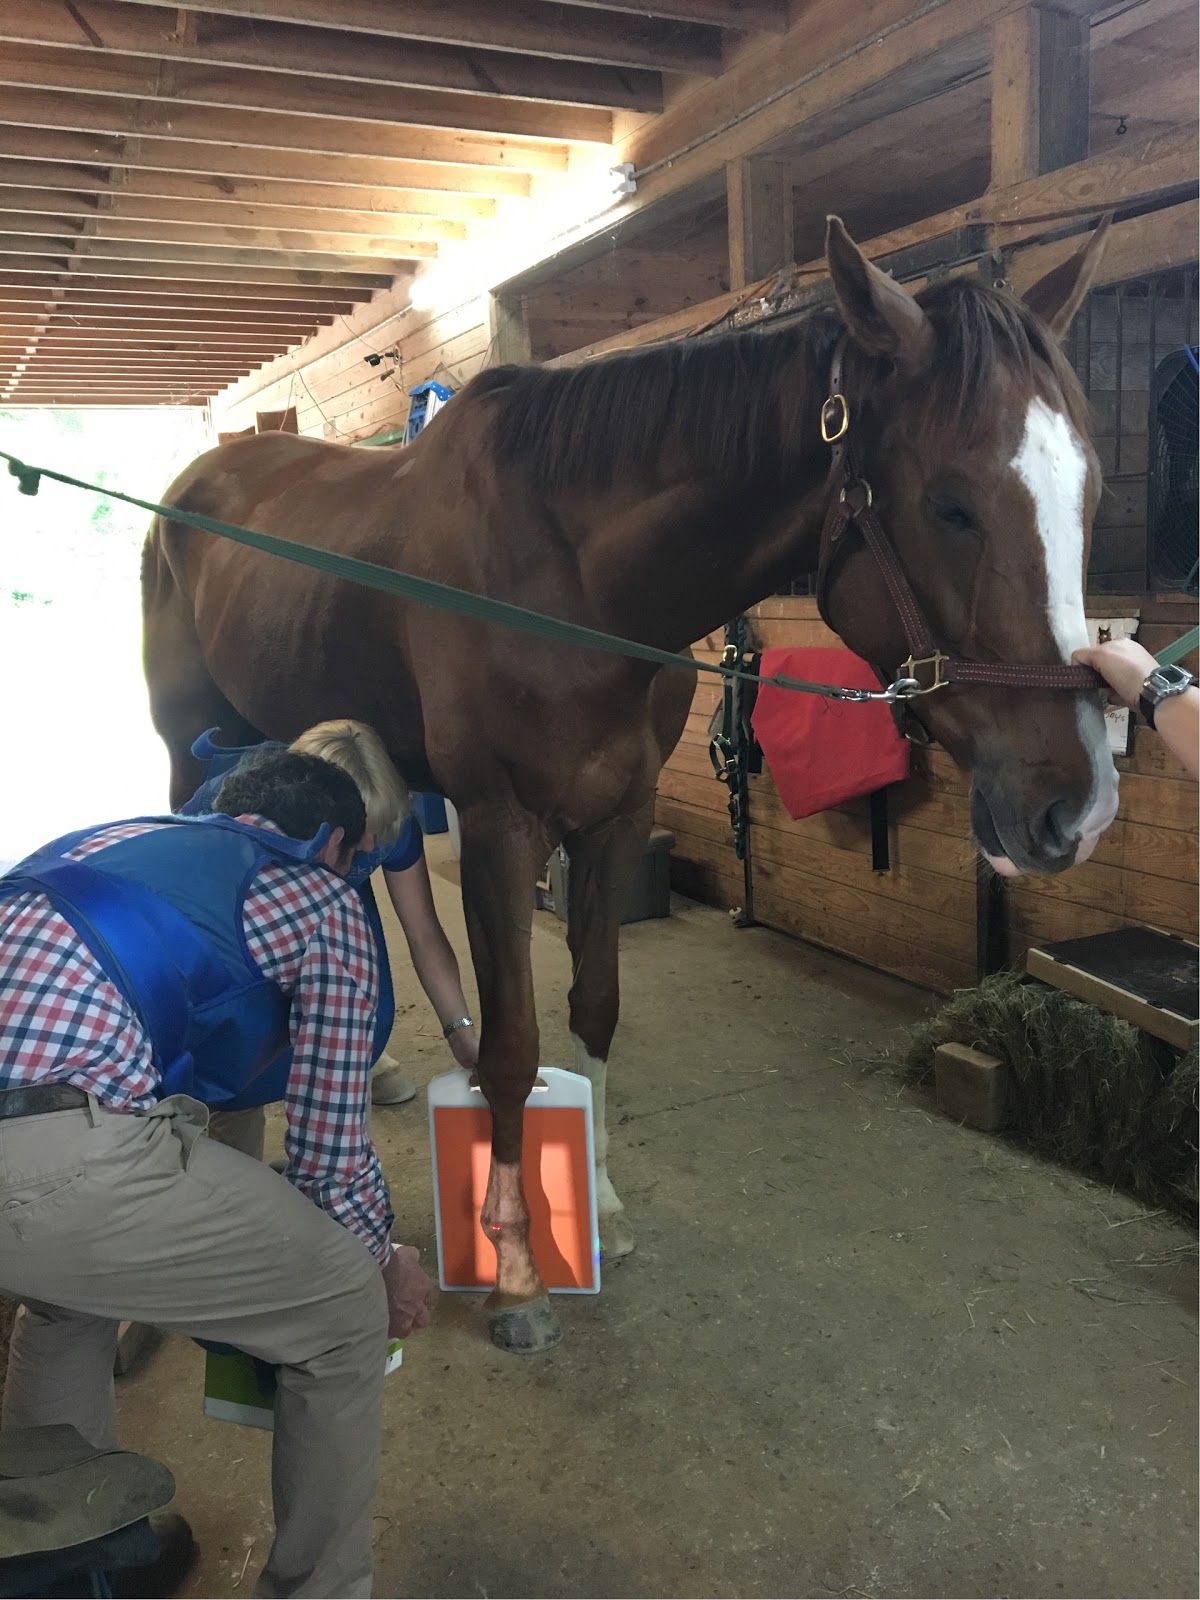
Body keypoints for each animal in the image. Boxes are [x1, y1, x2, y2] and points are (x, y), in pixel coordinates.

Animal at [142, 217, 1117, 1354]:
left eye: (1090, 493)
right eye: (950, 505)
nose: (1074, 804)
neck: (569, 578)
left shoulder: (615, 817)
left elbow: (595, 1007)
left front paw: (596, 1199)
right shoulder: (499, 825)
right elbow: (513, 1045)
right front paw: (518, 1274)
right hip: (191, 744)